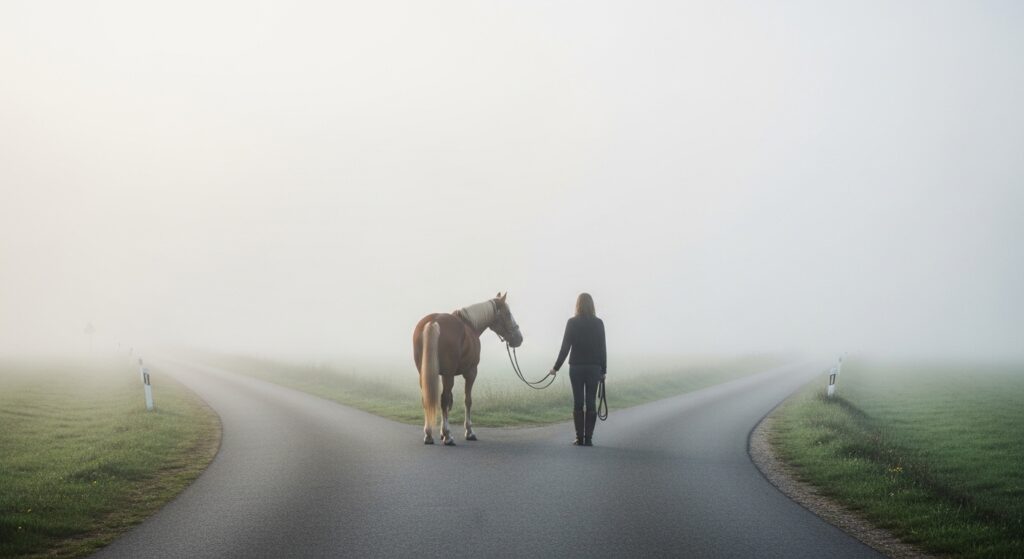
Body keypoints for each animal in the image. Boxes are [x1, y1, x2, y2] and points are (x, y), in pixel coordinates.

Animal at [412, 292, 523, 445]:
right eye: (507, 313)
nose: (519, 339)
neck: (470, 325)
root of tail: (433, 322)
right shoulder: (471, 372)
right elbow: (467, 400)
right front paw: (468, 432)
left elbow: (449, 403)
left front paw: (441, 433)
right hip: (449, 375)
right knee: (444, 399)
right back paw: (448, 437)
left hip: (424, 373)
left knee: (428, 399)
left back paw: (429, 435)